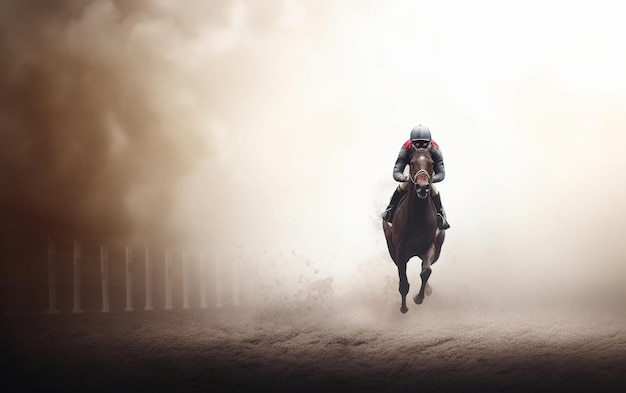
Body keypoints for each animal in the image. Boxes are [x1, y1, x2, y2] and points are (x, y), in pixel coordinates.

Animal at [380, 147, 444, 312]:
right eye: (412, 163)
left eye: (432, 163)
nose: (422, 187)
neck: (417, 219)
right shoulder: (400, 252)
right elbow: (403, 284)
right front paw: (403, 308)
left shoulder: (430, 246)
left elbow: (426, 271)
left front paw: (419, 297)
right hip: (391, 248)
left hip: (438, 249)